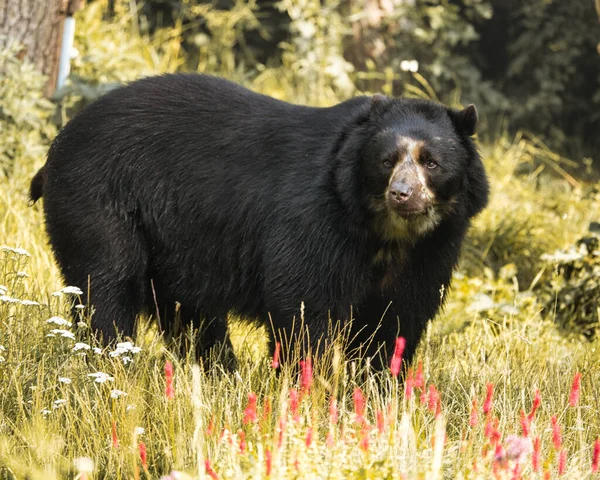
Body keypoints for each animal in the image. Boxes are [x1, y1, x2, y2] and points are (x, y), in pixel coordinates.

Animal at [29, 74, 488, 368]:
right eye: (387, 160)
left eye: (431, 162)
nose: (402, 194)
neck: (386, 232)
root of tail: (59, 145)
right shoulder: (316, 218)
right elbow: (304, 304)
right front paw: (309, 384)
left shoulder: (433, 247)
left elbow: (397, 318)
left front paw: (378, 390)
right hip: (100, 201)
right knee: (107, 285)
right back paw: (111, 365)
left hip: (173, 243)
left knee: (189, 314)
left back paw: (217, 371)